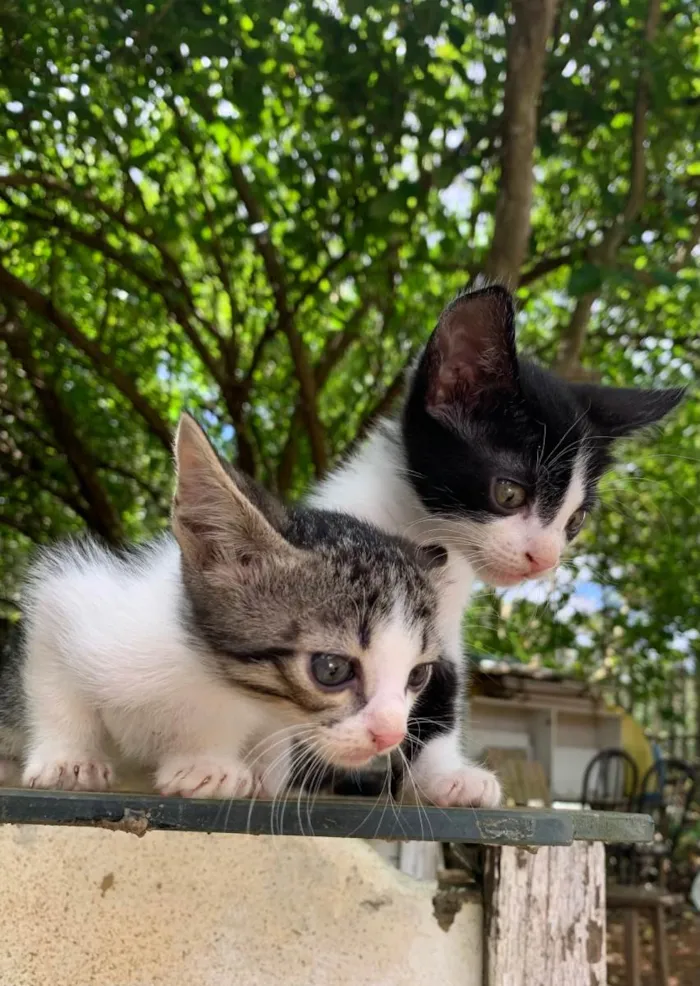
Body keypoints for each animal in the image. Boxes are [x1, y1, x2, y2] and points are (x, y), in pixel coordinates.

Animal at [0, 412, 460, 796]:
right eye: (331, 669)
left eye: (418, 676)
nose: (391, 735)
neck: (214, 683)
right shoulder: (69, 595)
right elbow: (54, 683)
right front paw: (69, 759)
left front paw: (218, 765)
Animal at [312, 280, 684, 804]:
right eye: (509, 493)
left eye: (576, 520)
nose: (543, 559)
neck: (427, 535)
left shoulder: (439, 629)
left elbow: (438, 686)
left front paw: (445, 775)